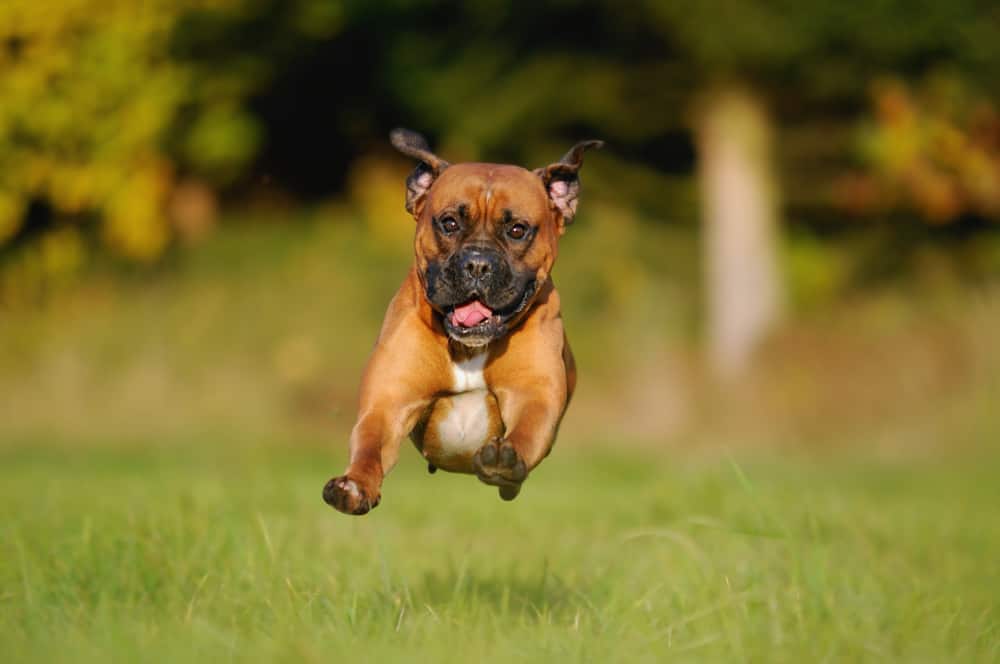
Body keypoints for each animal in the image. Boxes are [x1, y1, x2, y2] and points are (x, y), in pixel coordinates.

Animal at [322, 128, 600, 512]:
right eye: (449, 223)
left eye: (517, 229)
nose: (478, 263)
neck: (470, 348)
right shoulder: (388, 403)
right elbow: (369, 446)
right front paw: (354, 486)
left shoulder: (533, 394)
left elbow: (526, 430)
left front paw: (503, 461)